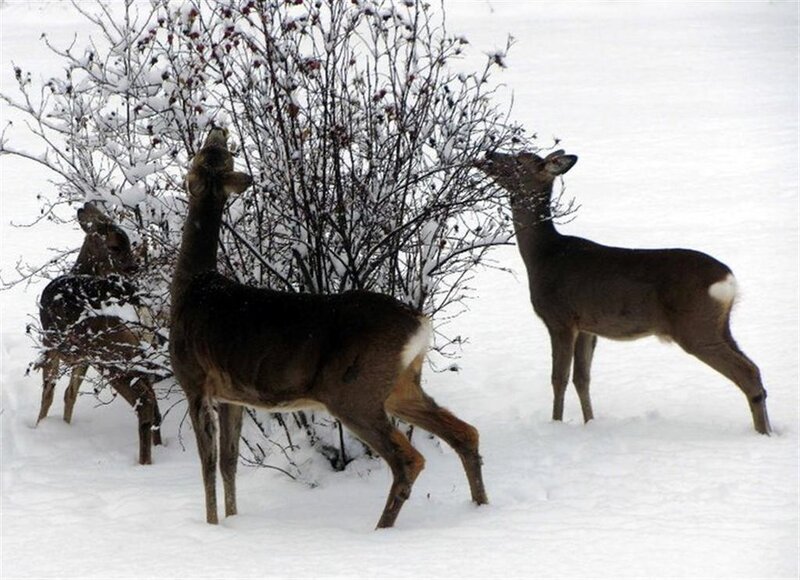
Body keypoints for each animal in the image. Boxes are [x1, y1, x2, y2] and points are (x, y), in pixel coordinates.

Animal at [37, 203, 163, 464]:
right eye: (116, 245)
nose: (134, 267)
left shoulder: (50, 344)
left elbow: (48, 394)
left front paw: (38, 428)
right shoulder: (82, 358)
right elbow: (70, 394)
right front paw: (65, 426)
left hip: (110, 352)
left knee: (144, 401)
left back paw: (144, 462)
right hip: (135, 351)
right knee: (152, 398)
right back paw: (159, 448)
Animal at [170, 128, 488, 528]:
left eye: (207, 154)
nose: (219, 128)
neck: (193, 286)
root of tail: (419, 322)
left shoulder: (194, 381)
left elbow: (208, 466)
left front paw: (212, 526)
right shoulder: (232, 396)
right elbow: (229, 463)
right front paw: (233, 520)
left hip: (353, 392)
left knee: (409, 458)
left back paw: (381, 529)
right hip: (399, 385)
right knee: (465, 432)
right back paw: (480, 507)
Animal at [475, 150, 770, 435]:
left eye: (518, 160)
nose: (488, 153)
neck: (542, 255)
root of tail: (728, 279)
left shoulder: (560, 319)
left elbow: (558, 378)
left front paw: (556, 425)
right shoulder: (587, 326)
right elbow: (582, 378)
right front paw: (590, 423)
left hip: (695, 327)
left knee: (747, 373)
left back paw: (762, 434)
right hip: (720, 325)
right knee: (755, 367)